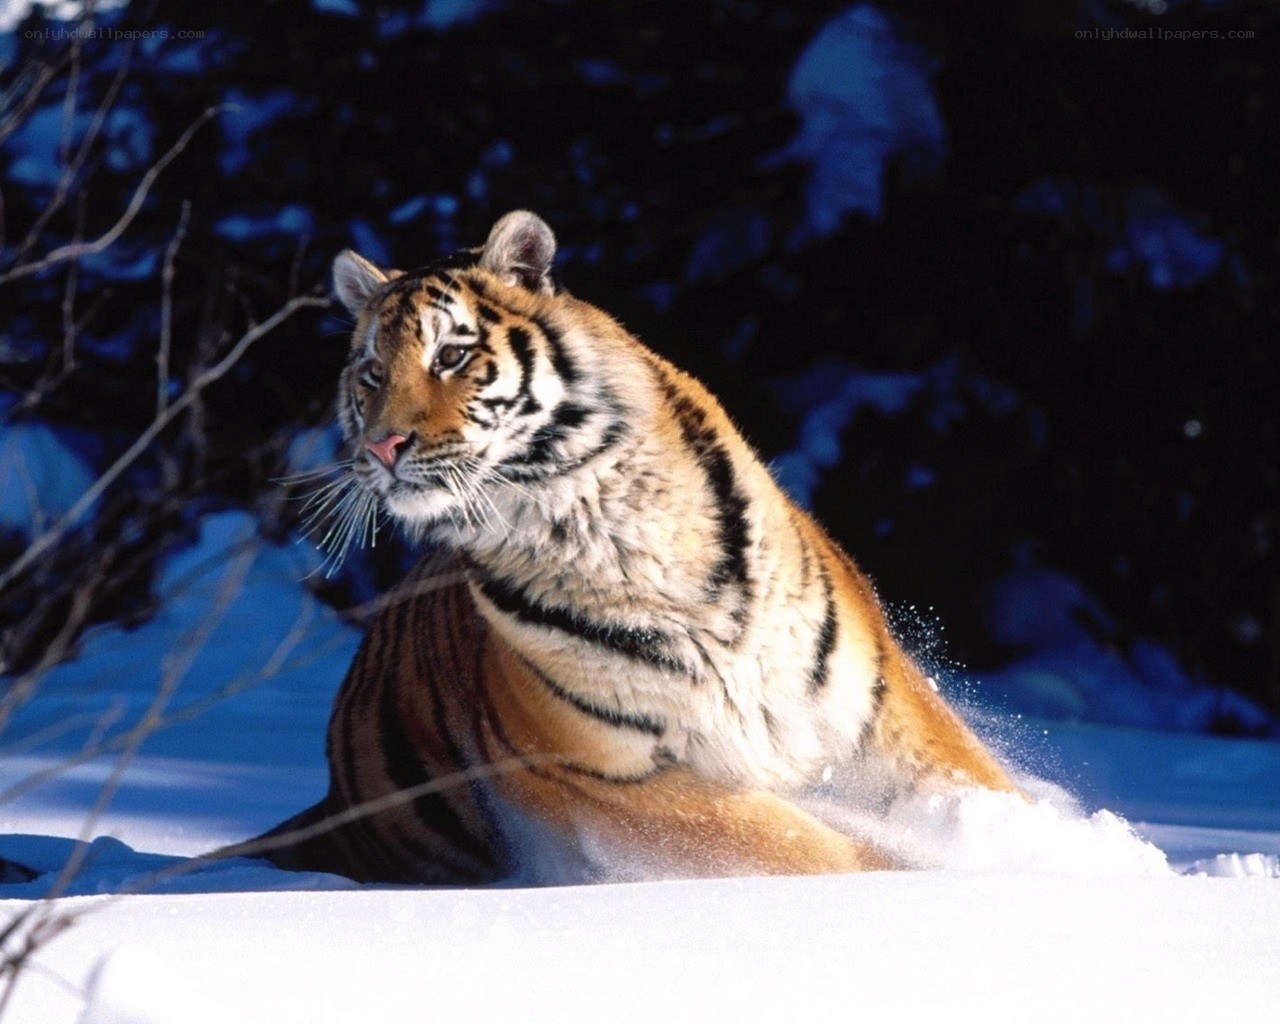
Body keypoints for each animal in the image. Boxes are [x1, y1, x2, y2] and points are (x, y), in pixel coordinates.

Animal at [257, 210, 1017, 884]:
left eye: (451, 355)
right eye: (370, 373)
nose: (380, 447)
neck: (602, 519)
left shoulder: (872, 703)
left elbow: (971, 783)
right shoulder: (601, 773)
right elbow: (804, 846)